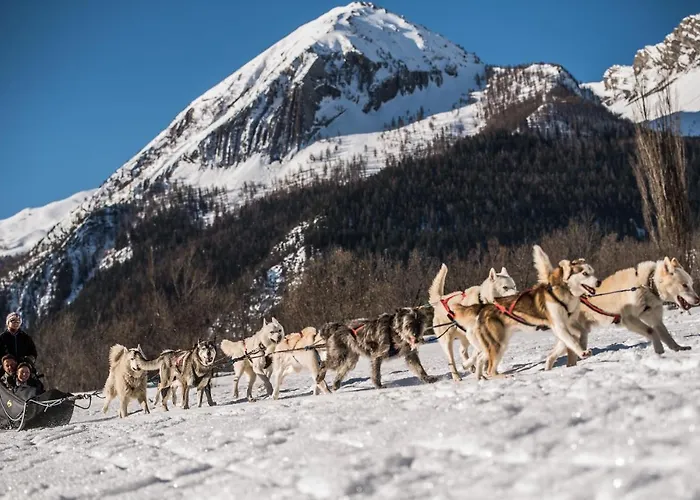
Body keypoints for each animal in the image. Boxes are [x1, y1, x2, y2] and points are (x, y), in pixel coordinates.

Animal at [463, 245, 600, 379]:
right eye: (585, 273)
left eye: (592, 272)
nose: (598, 282)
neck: (563, 293)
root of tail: (484, 308)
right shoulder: (559, 326)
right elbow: (571, 340)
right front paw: (582, 351)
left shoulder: (570, 323)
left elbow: (582, 333)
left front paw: (582, 344)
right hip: (498, 345)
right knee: (490, 370)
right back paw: (504, 376)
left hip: (498, 343)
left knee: (481, 358)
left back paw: (480, 378)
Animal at [545, 256, 700, 370]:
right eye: (684, 285)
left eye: (692, 284)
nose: (698, 300)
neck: (647, 286)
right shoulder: (629, 320)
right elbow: (652, 332)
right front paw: (659, 351)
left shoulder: (655, 319)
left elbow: (667, 336)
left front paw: (678, 348)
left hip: (573, 337)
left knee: (552, 355)